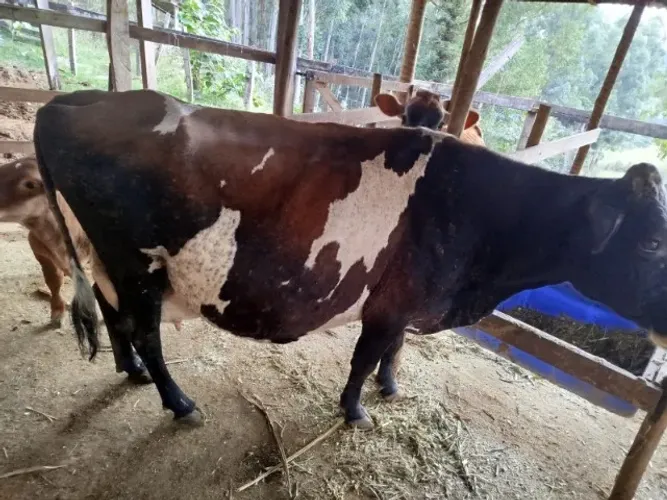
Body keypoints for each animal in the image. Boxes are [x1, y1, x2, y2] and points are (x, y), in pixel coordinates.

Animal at [33, 89, 667, 429]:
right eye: (651, 242)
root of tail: (76, 101)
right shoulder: (390, 304)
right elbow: (366, 357)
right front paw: (357, 409)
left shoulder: (410, 301)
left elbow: (394, 351)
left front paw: (391, 387)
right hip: (136, 262)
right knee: (145, 333)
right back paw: (180, 402)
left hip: (101, 258)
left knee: (115, 320)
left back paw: (133, 375)